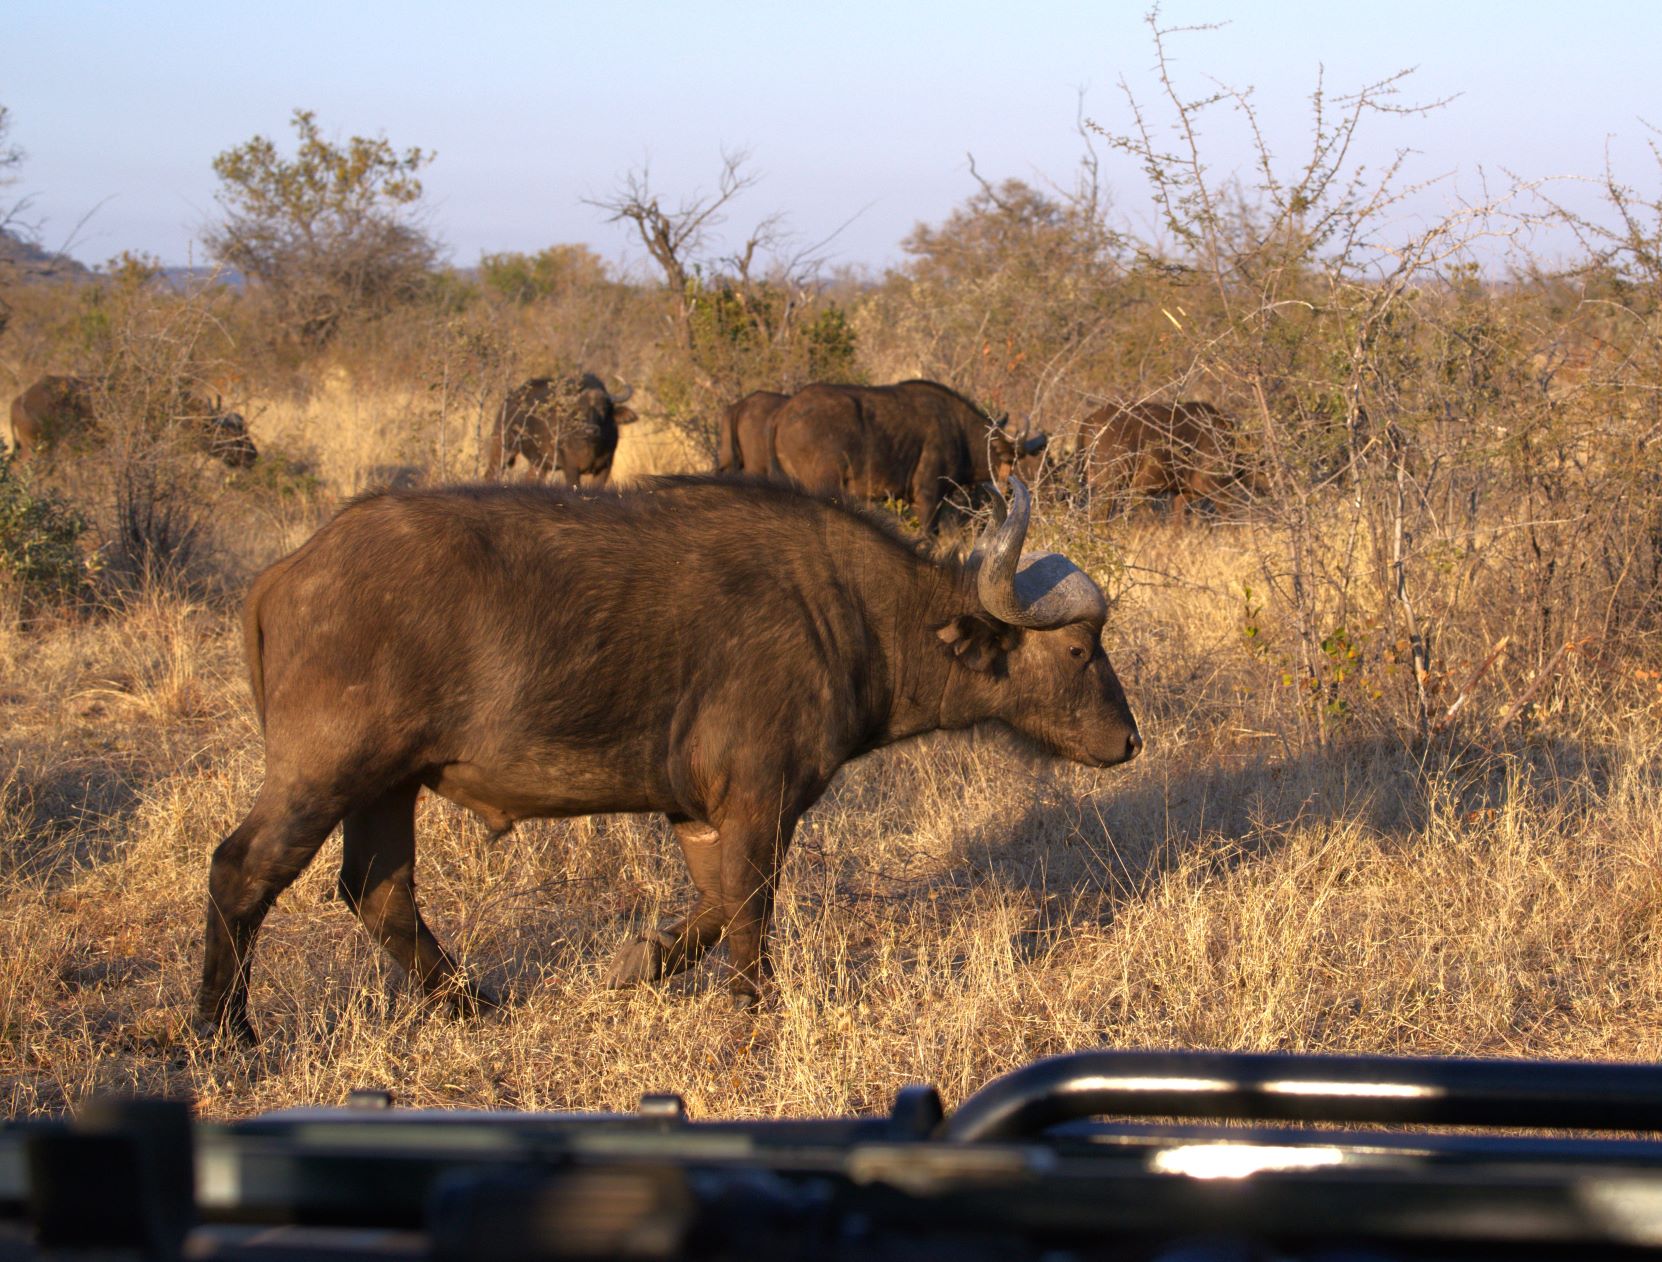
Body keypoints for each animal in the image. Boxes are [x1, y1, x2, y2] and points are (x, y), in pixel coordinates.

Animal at [197, 474, 1140, 1041]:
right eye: (1080, 650)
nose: (1129, 741)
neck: (850, 612)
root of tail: (290, 571)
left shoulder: (696, 814)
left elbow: (714, 908)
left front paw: (635, 964)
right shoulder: (760, 802)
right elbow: (751, 909)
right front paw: (754, 1011)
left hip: (387, 787)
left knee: (378, 890)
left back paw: (471, 1003)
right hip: (325, 773)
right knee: (243, 869)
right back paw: (223, 1029)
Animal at [491, 372, 637, 485]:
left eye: (603, 409)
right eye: (579, 410)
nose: (591, 430)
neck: (590, 447)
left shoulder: (605, 467)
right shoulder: (571, 467)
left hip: (539, 463)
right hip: (502, 448)